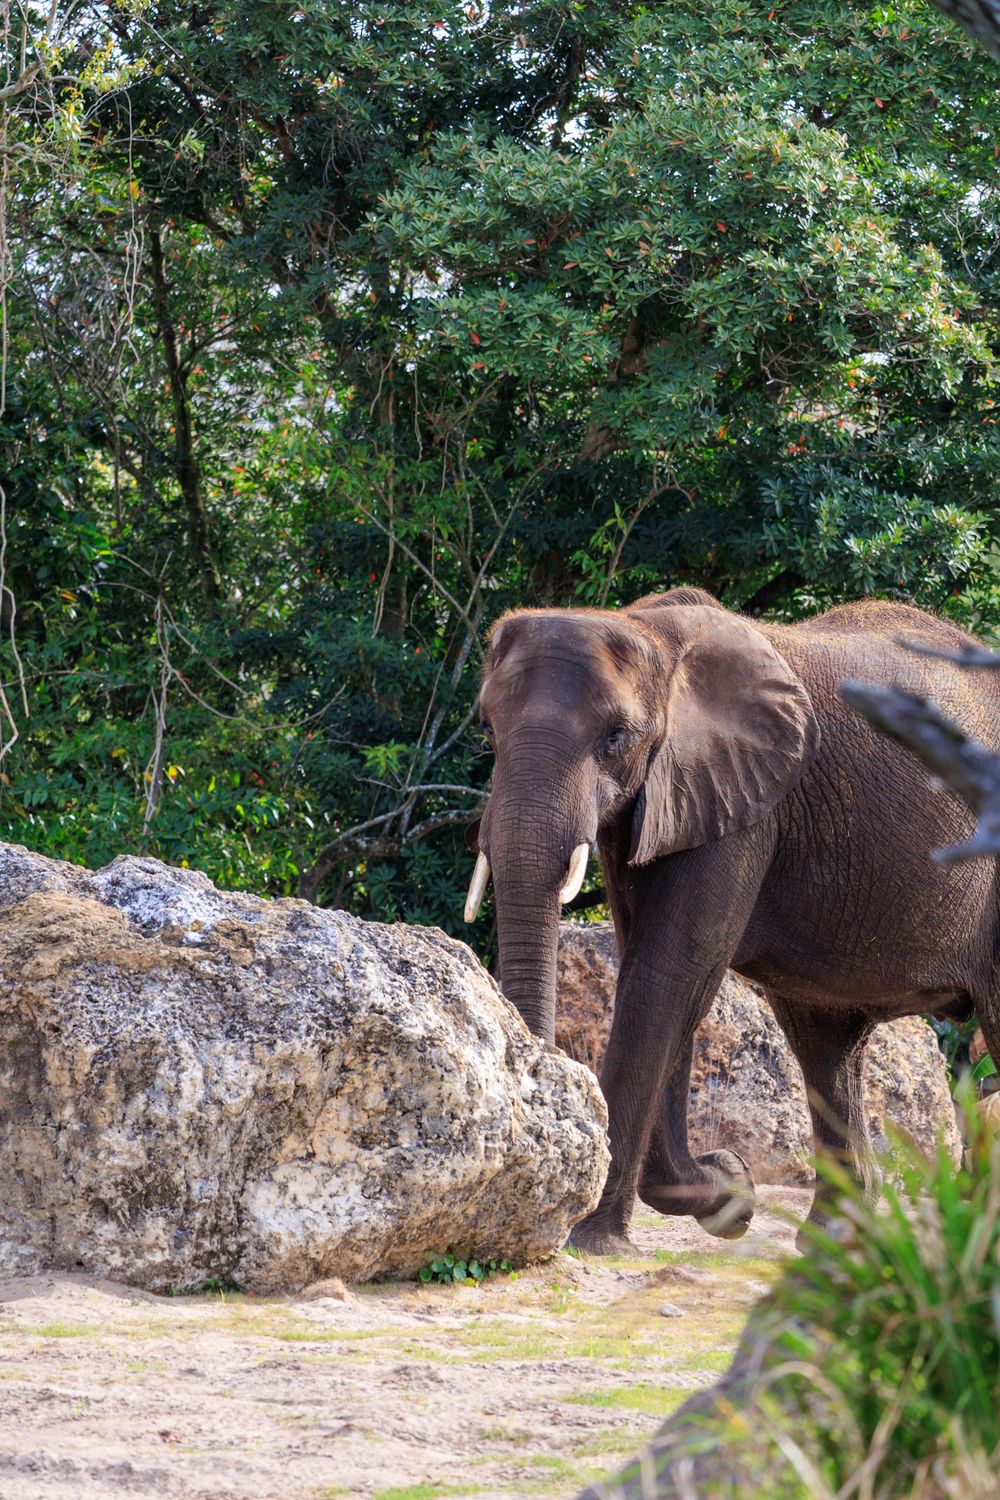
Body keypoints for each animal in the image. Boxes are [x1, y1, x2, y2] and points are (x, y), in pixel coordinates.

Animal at [464, 587, 1000, 1253]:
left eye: (616, 737)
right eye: (488, 729)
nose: (737, 1184)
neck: (651, 632)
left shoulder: (742, 806)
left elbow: (670, 973)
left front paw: (593, 1236)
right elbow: (655, 969)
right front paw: (728, 1195)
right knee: (826, 1043)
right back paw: (834, 1243)